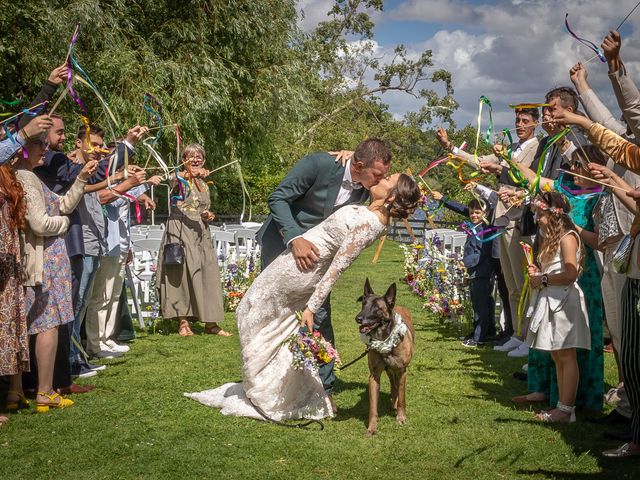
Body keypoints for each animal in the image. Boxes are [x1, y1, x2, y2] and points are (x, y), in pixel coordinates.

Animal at [356, 278, 416, 436]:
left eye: (377, 308)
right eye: (364, 304)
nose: (358, 318)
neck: (384, 338)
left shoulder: (402, 372)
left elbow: (402, 398)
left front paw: (401, 417)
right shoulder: (374, 376)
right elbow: (373, 407)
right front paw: (372, 427)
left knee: (396, 388)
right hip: (389, 370)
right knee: (393, 386)